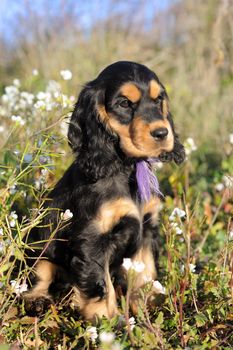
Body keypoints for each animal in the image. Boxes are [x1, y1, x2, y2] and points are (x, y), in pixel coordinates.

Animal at [24, 60, 185, 320]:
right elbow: (100, 285)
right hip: (40, 251)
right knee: (37, 278)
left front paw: (149, 308)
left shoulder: (146, 229)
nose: (162, 133)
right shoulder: (93, 238)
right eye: (124, 103)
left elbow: (145, 272)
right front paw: (109, 322)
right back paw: (37, 301)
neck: (126, 167)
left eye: (158, 99)